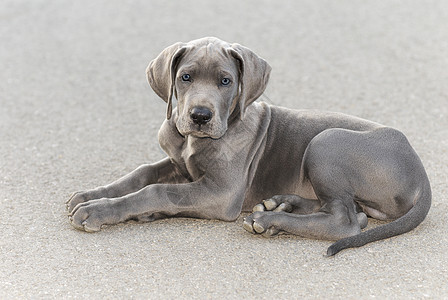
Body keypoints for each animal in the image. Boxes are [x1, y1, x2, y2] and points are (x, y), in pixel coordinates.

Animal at [66, 35, 430, 255]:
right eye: (185, 77)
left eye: (226, 81)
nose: (200, 116)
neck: (193, 142)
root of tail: (422, 176)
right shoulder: (180, 165)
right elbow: (140, 174)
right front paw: (91, 195)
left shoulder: (221, 193)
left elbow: (156, 190)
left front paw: (98, 211)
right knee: (347, 211)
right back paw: (280, 205)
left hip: (326, 142)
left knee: (346, 221)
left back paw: (269, 221)